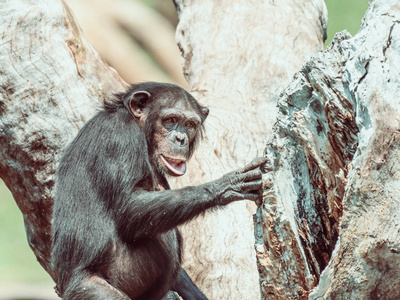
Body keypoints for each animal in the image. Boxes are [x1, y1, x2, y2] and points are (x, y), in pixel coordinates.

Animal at [52, 81, 266, 298]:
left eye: (189, 125)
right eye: (170, 120)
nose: (180, 138)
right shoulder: (118, 135)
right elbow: (129, 206)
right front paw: (225, 185)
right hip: (92, 290)